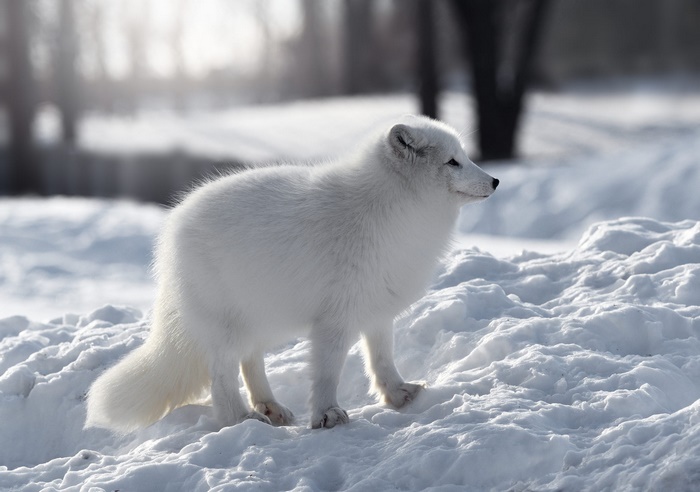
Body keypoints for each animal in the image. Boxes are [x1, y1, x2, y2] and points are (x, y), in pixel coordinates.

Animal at [85, 115, 498, 432]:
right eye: (452, 162)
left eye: (465, 157)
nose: (495, 181)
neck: (394, 211)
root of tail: (173, 228)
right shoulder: (335, 319)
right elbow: (328, 372)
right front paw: (327, 416)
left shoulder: (378, 310)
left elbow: (382, 361)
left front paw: (399, 396)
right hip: (227, 326)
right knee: (222, 375)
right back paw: (241, 419)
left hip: (262, 320)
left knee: (250, 362)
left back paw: (270, 407)